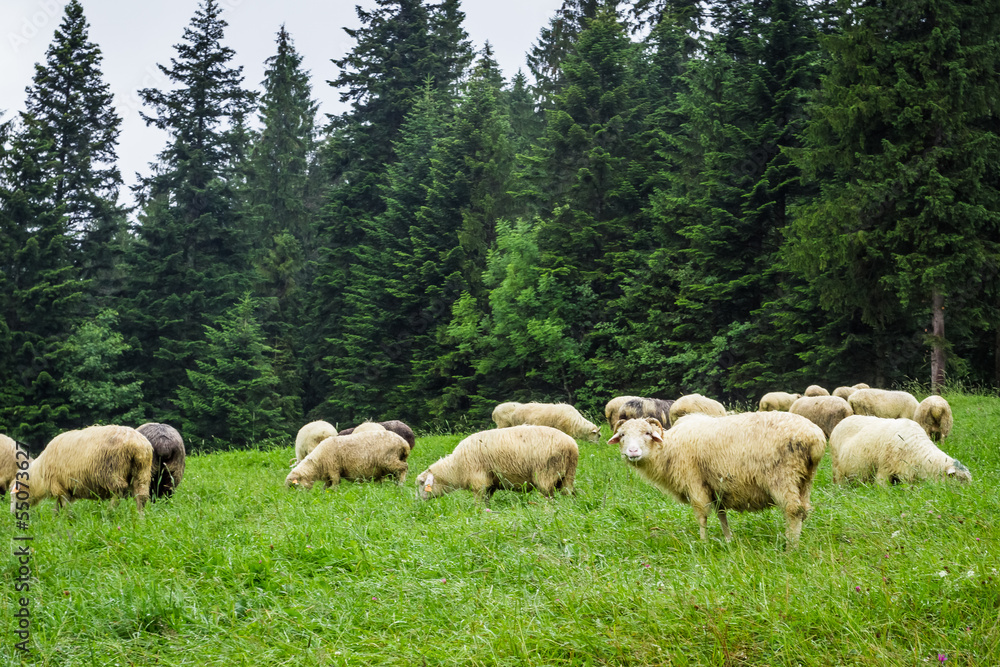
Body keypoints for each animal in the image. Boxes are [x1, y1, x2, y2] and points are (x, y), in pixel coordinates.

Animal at [10, 425, 153, 512]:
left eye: (15, 495)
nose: (12, 514)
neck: (38, 476)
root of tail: (137, 444)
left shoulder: (60, 486)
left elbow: (64, 506)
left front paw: (67, 519)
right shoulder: (63, 487)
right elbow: (57, 507)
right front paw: (57, 520)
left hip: (113, 471)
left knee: (119, 491)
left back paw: (110, 511)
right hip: (142, 471)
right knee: (141, 495)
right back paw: (141, 518)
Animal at [416, 425, 578, 502]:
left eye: (422, 483)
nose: (418, 502)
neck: (456, 468)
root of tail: (571, 445)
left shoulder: (479, 481)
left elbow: (478, 503)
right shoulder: (490, 484)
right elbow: (486, 501)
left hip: (546, 474)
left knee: (548, 496)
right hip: (567, 476)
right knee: (568, 494)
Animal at [611, 413, 826, 547]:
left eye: (648, 433)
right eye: (622, 435)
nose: (633, 451)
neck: (668, 449)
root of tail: (815, 438)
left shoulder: (694, 482)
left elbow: (701, 516)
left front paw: (703, 543)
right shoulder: (715, 486)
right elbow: (721, 514)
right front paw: (728, 540)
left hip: (782, 476)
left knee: (793, 511)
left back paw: (791, 547)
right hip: (805, 479)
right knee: (804, 510)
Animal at [829, 415, 971, 485]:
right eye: (960, 480)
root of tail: (843, 420)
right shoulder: (885, 468)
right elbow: (882, 486)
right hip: (837, 466)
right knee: (839, 480)